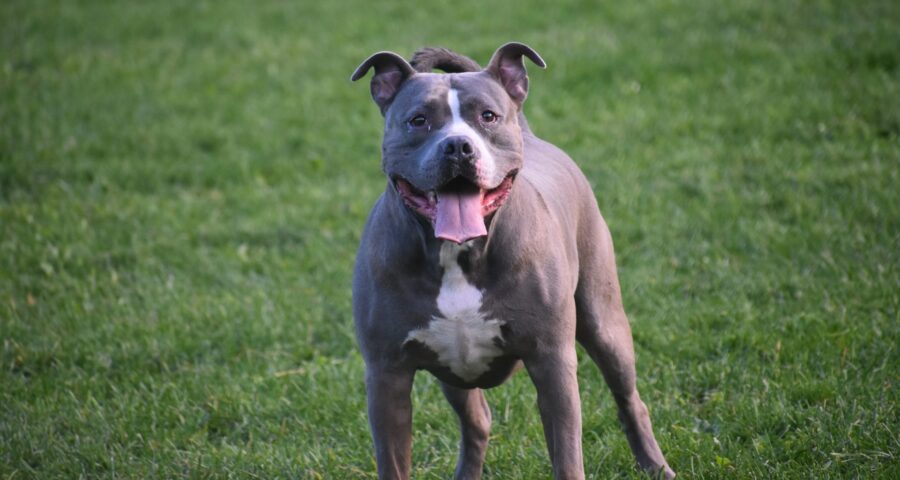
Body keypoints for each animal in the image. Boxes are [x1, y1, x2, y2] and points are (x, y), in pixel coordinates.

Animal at [348, 43, 672, 478]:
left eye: (488, 116)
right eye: (418, 121)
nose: (458, 146)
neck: (458, 254)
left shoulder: (552, 364)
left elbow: (567, 456)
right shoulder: (387, 377)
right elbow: (394, 462)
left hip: (604, 324)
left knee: (628, 397)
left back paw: (656, 465)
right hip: (453, 372)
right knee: (477, 421)